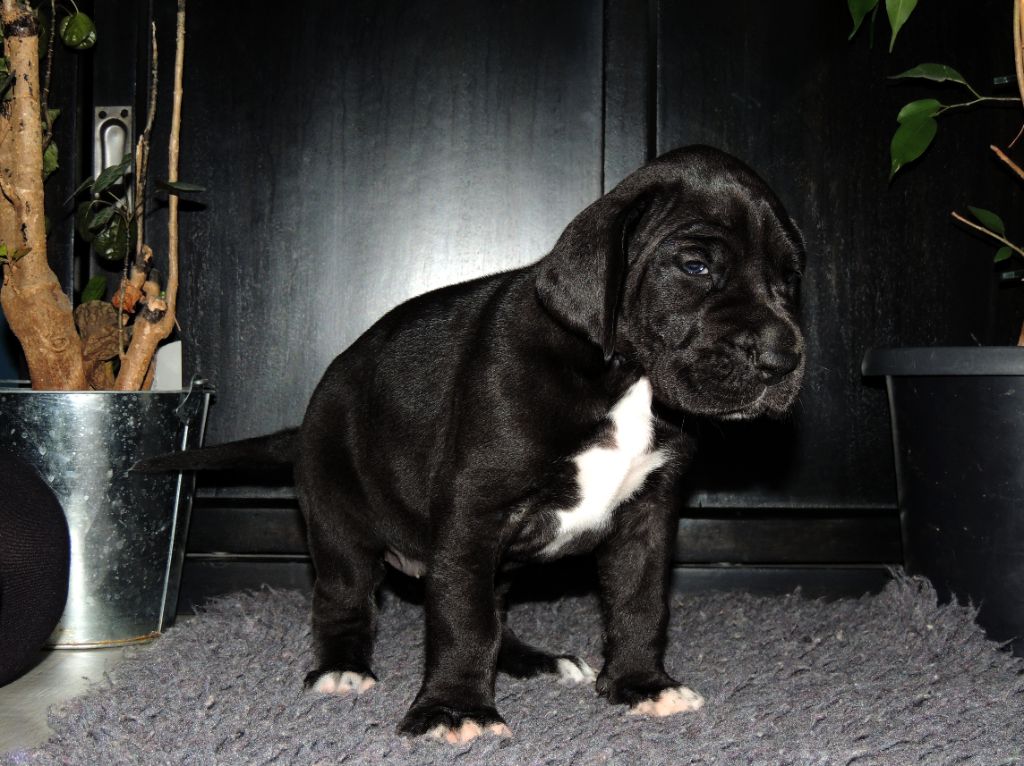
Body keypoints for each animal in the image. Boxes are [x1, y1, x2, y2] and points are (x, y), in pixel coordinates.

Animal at [143, 145, 805, 744]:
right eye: (695, 266)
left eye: (790, 277)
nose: (784, 357)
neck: (621, 377)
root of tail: (305, 421)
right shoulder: (474, 515)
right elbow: (464, 620)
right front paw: (455, 708)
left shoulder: (645, 516)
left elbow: (639, 603)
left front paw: (642, 685)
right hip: (339, 526)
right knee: (344, 598)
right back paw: (341, 668)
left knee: (496, 606)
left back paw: (534, 660)